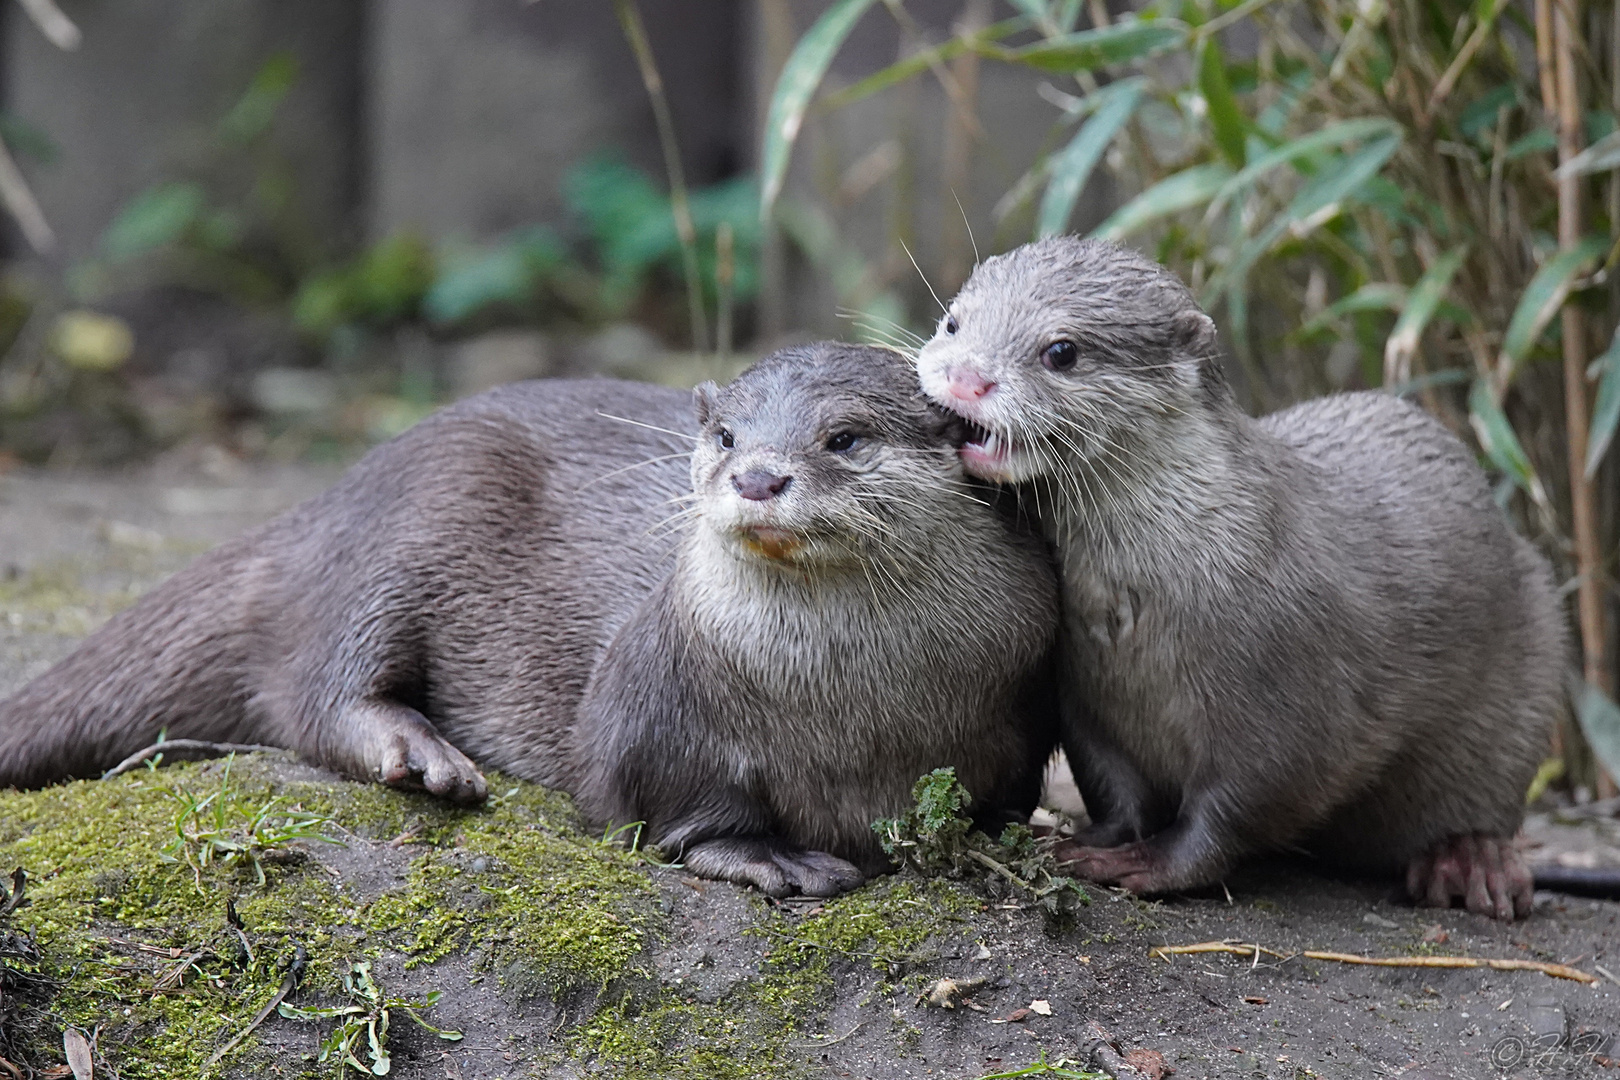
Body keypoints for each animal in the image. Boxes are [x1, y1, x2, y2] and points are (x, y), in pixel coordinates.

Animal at [3, 344, 1062, 893]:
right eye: (725, 436)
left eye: (844, 437)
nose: (759, 475)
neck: (854, 703)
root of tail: (326, 505)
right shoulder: (651, 694)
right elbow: (656, 798)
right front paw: (764, 855)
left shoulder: (1023, 689)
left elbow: (1004, 794)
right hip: (413, 523)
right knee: (317, 686)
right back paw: (421, 756)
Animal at [926, 236, 1568, 919]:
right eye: (953, 323)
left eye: (1062, 351)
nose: (965, 378)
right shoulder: (1086, 696)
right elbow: (1114, 783)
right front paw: (1086, 840)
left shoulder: (1294, 706)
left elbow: (1237, 808)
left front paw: (1145, 865)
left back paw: (1470, 861)